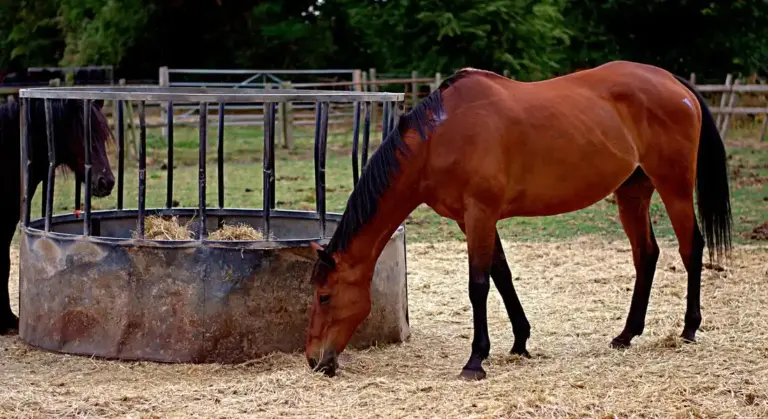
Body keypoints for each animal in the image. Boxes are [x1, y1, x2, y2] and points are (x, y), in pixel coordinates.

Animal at [304, 60, 732, 380]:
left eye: (324, 296)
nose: (314, 359)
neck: (440, 138)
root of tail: (673, 82)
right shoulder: (471, 219)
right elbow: (502, 275)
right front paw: (520, 342)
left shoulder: (479, 213)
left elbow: (478, 284)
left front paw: (475, 361)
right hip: (633, 193)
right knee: (646, 254)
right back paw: (626, 334)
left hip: (674, 186)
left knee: (691, 248)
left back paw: (689, 328)